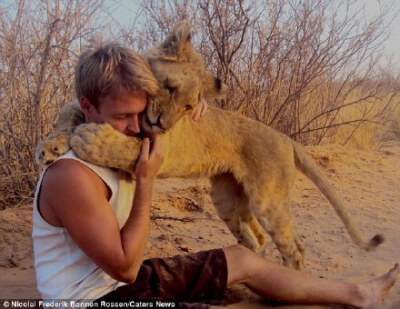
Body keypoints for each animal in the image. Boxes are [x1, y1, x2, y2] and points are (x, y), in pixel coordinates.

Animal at [36, 20, 382, 268]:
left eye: (190, 107)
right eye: (170, 88)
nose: (162, 123)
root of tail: (286, 137)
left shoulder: (159, 148)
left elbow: (125, 147)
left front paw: (88, 138)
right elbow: (68, 111)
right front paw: (50, 147)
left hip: (267, 199)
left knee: (295, 248)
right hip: (228, 197)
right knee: (256, 237)